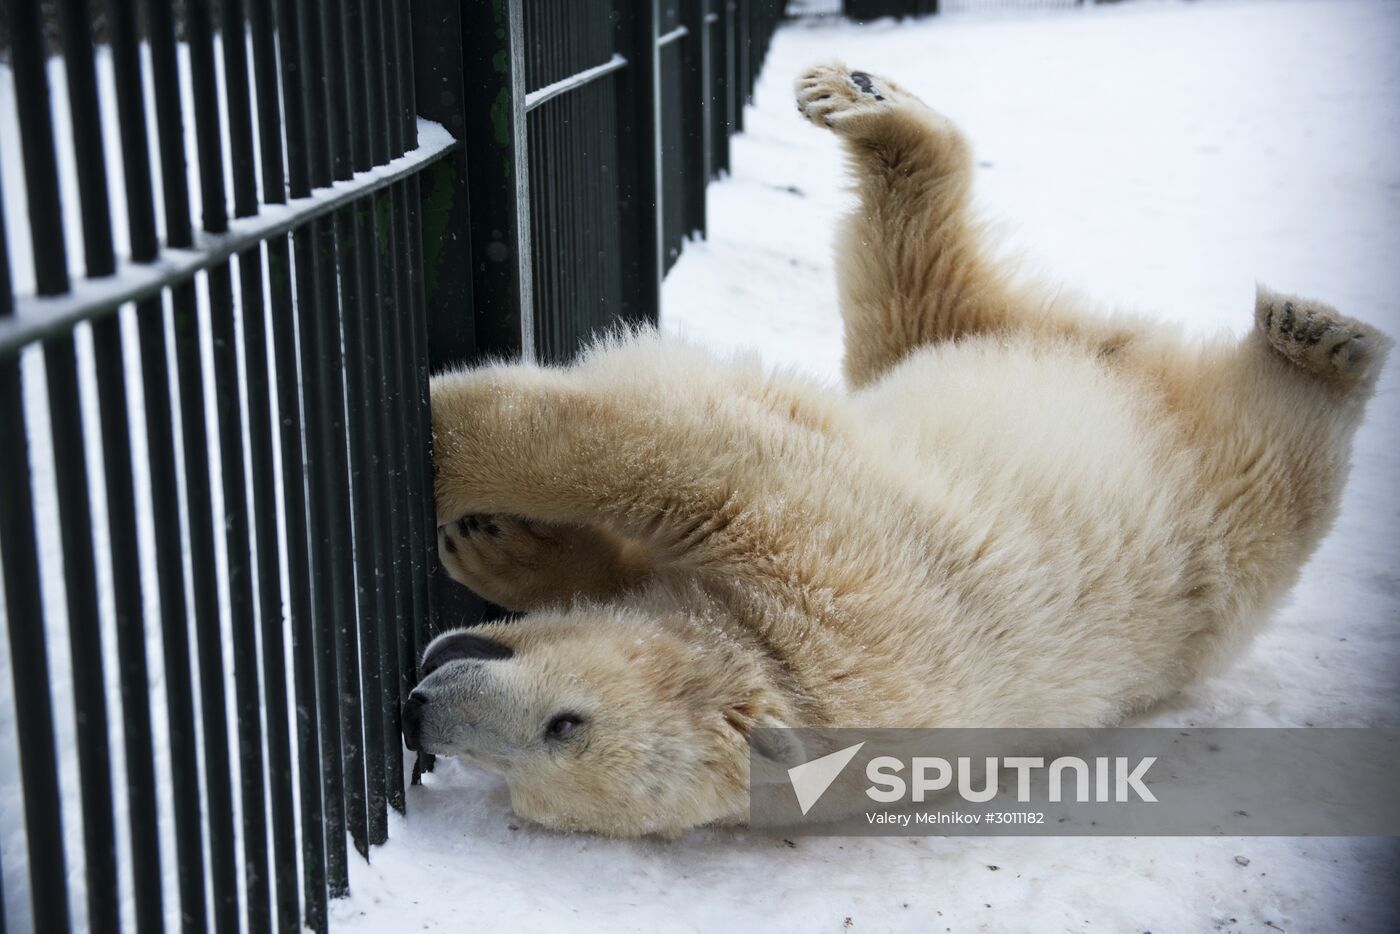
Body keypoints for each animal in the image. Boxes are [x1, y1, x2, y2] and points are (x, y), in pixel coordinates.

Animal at [406, 67, 1388, 840]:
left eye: (560, 732)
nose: (419, 710)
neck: (781, 675)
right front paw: (502, 547)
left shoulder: (828, 572)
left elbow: (679, 445)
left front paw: (451, 451)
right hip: (1007, 347)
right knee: (923, 294)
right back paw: (861, 99)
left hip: (1230, 494)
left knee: (1282, 452)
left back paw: (1323, 345)